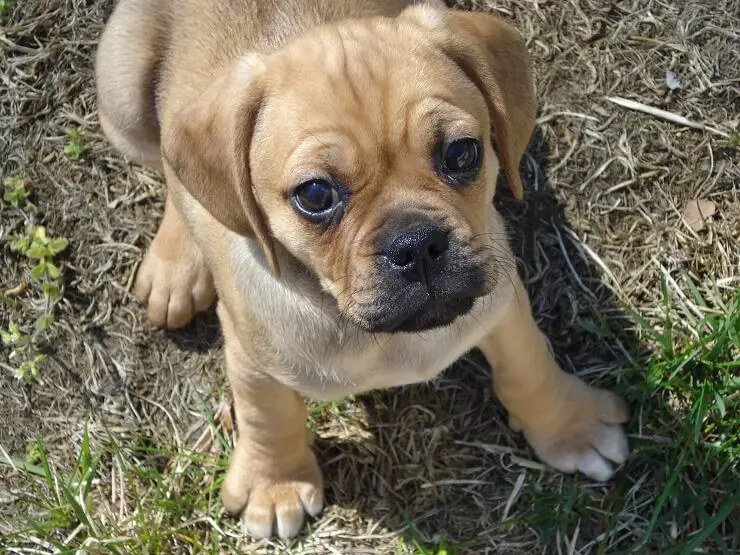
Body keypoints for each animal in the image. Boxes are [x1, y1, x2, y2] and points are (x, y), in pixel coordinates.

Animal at [97, 0, 632, 540]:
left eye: (462, 153)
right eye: (315, 195)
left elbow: (529, 366)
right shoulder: (252, 354)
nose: (416, 245)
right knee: (168, 168)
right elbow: (266, 416)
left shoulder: (500, 301)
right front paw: (276, 485)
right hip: (121, 99)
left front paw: (569, 426)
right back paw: (176, 266)